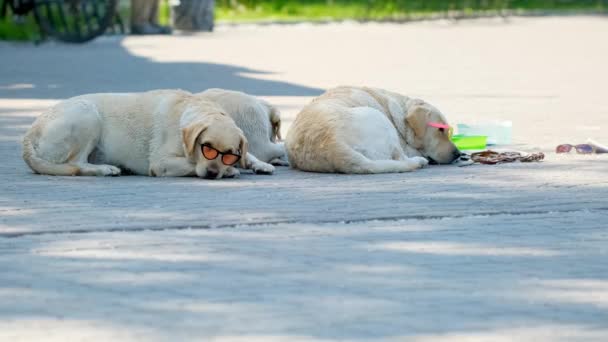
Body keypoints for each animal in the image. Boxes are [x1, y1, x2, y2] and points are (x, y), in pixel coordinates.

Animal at [21, 89, 274, 179]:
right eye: (207, 147)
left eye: (230, 153)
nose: (212, 174)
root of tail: (27, 136)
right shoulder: (161, 163)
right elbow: (190, 164)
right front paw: (231, 170)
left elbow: (249, 154)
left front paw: (258, 163)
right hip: (88, 115)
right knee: (77, 163)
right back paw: (105, 169)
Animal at [284, 85, 460, 174]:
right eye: (441, 130)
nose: (458, 153)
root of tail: (333, 147)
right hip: (378, 118)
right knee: (402, 159)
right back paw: (420, 161)